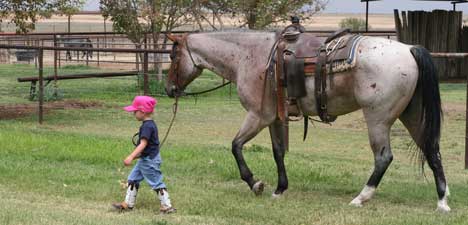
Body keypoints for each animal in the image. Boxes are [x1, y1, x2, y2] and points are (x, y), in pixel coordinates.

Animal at [164, 30, 450, 212]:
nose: (168, 89)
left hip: (378, 119)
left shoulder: (258, 116)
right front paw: (280, 189)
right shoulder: (275, 118)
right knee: (432, 151)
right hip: (412, 115)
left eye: (173, 56)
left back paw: (361, 197)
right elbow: (278, 151)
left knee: (384, 157)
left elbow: (235, 146)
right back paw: (442, 201)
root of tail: (410, 50)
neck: (251, 56)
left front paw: (255, 183)